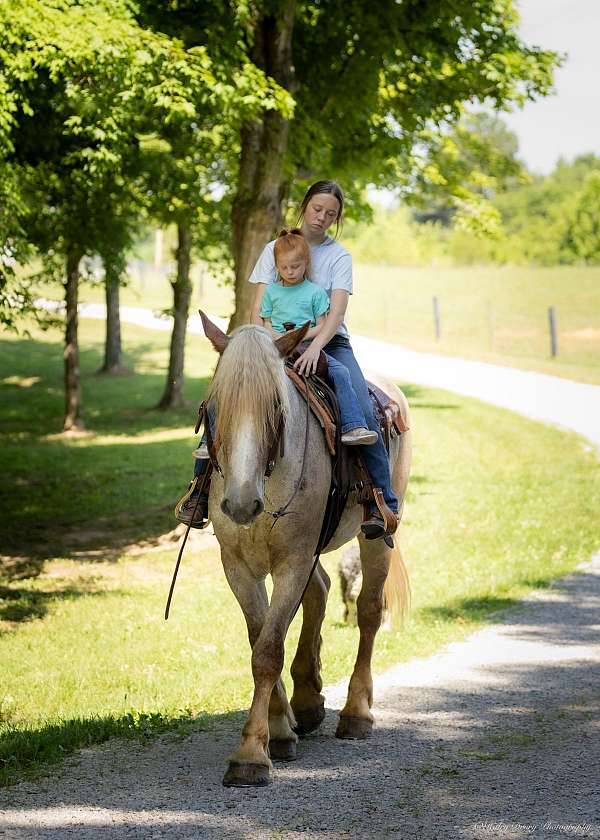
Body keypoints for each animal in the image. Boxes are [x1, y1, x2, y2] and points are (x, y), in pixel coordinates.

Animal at [199, 310, 410, 788]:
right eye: (214, 408)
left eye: (276, 408)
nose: (241, 503)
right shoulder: (238, 566)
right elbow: (260, 638)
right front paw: (279, 730)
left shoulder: (293, 561)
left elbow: (268, 650)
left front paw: (251, 755)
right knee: (322, 589)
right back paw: (309, 701)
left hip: (376, 536)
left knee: (368, 611)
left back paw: (356, 713)